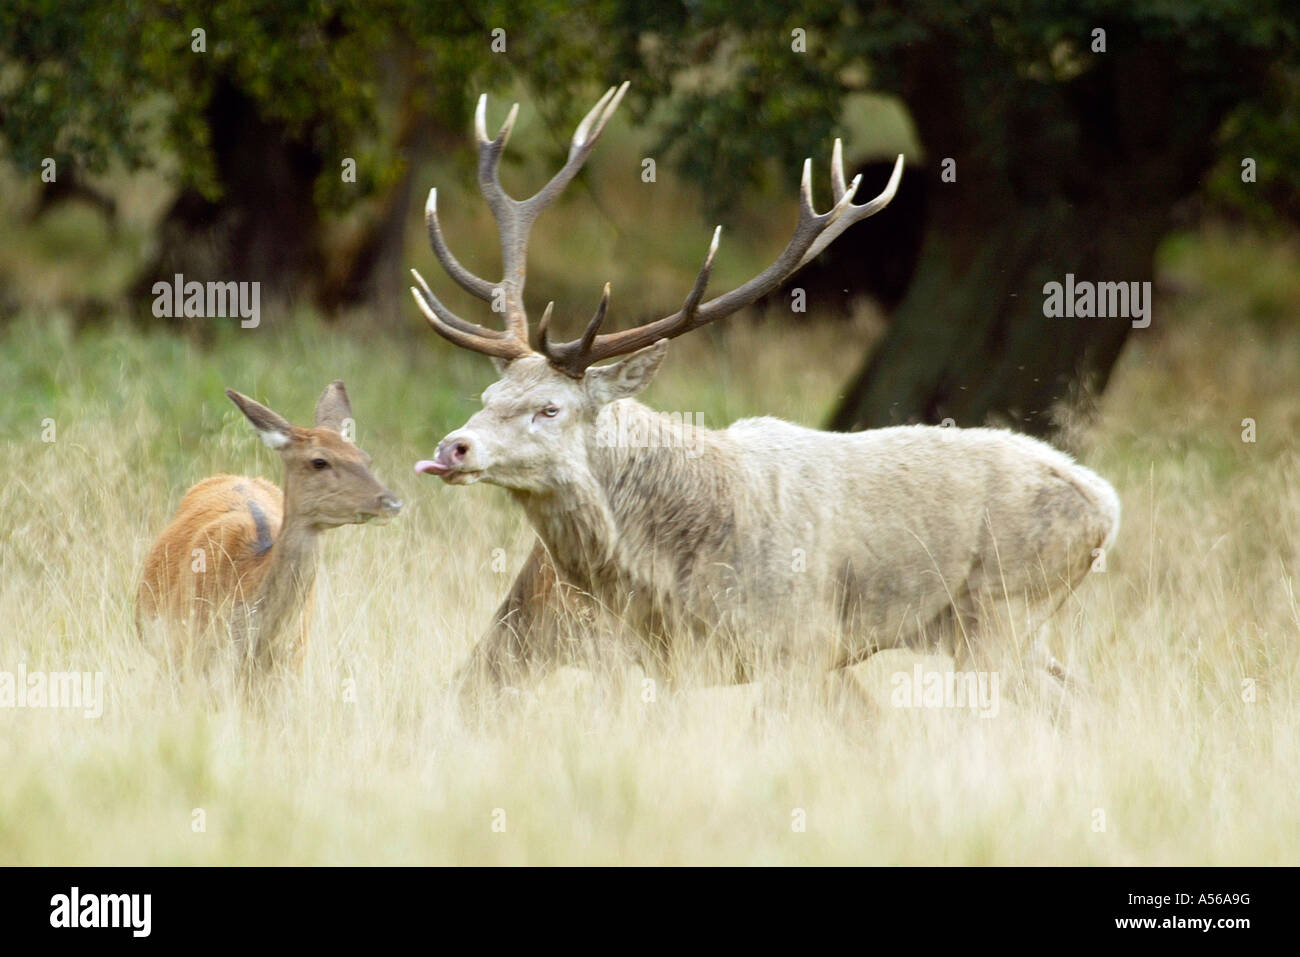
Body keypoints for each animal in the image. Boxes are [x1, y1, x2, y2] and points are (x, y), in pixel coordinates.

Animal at [410, 85, 1123, 717]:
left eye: (550, 409)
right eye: (489, 393)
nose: (453, 446)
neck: (666, 568)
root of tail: (1105, 505)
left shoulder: (802, 645)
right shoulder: (669, 662)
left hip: (1003, 608)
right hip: (1010, 631)